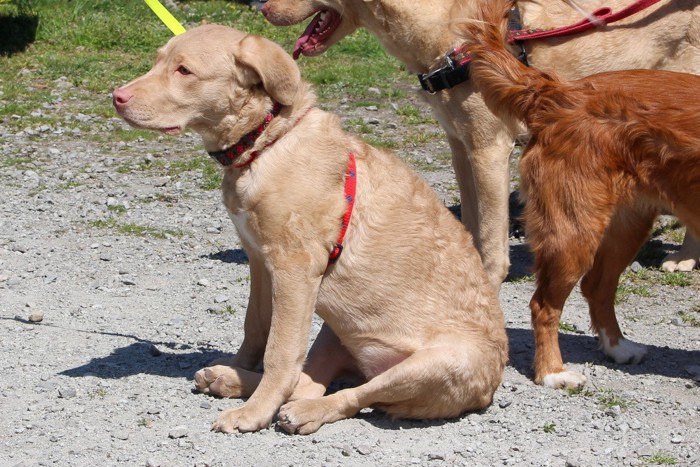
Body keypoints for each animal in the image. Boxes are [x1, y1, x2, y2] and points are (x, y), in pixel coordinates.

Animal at [110, 25, 508, 436]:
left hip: (438, 363)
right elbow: (256, 330)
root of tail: (488, 390)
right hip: (335, 330)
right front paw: (242, 372)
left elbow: (280, 352)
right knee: (309, 383)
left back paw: (301, 412)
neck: (269, 143)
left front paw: (255, 413)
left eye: (184, 70)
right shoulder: (260, 261)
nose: (117, 97)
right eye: (158, 60)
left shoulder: (295, 268)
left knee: (350, 396)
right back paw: (232, 379)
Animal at [454, 0, 700, 390]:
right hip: (572, 231)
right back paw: (552, 372)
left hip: (625, 226)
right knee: (544, 304)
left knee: (597, 287)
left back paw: (617, 348)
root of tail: (557, 92)